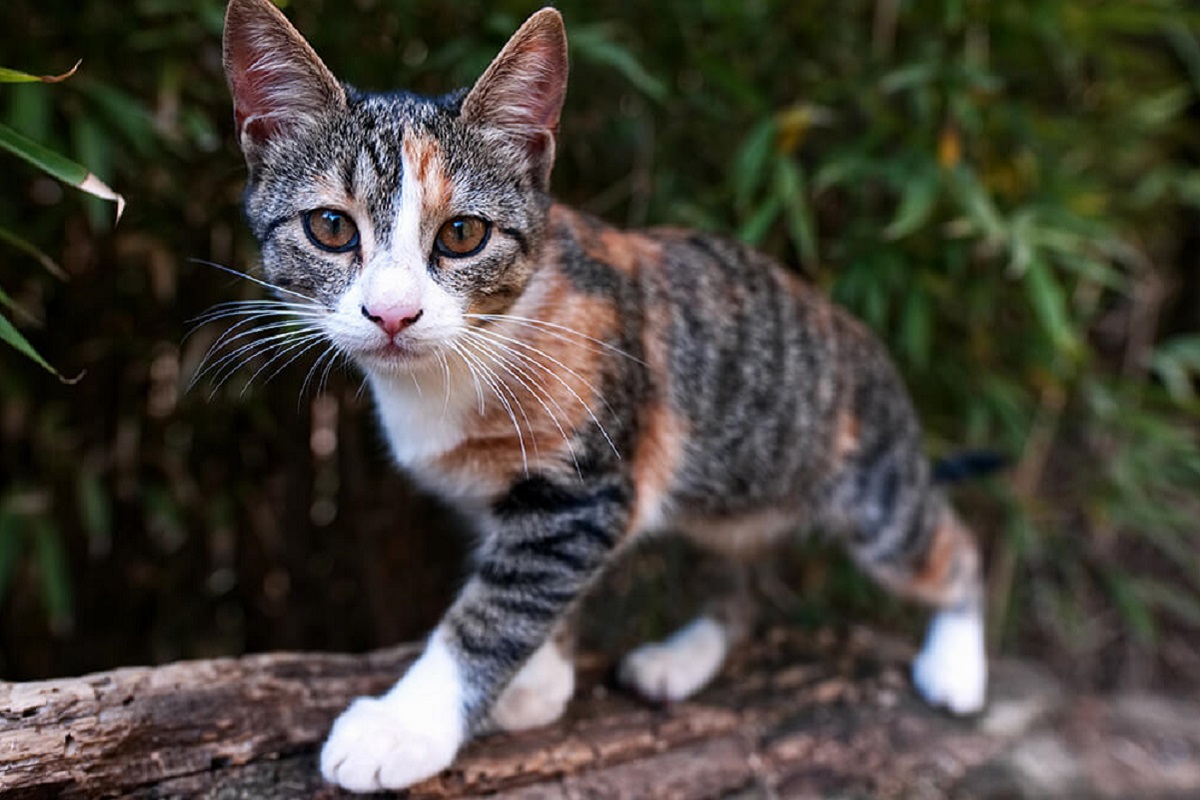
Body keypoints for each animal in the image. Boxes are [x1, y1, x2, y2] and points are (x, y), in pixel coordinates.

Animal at [223, 0, 984, 786]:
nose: (394, 314)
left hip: (870, 488)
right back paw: (686, 656)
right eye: (330, 227)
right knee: (740, 580)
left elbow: (498, 607)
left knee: (947, 546)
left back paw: (957, 666)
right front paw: (540, 682)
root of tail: (860, 333)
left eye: (462, 234)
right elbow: (528, 585)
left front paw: (406, 726)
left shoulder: (587, 485)